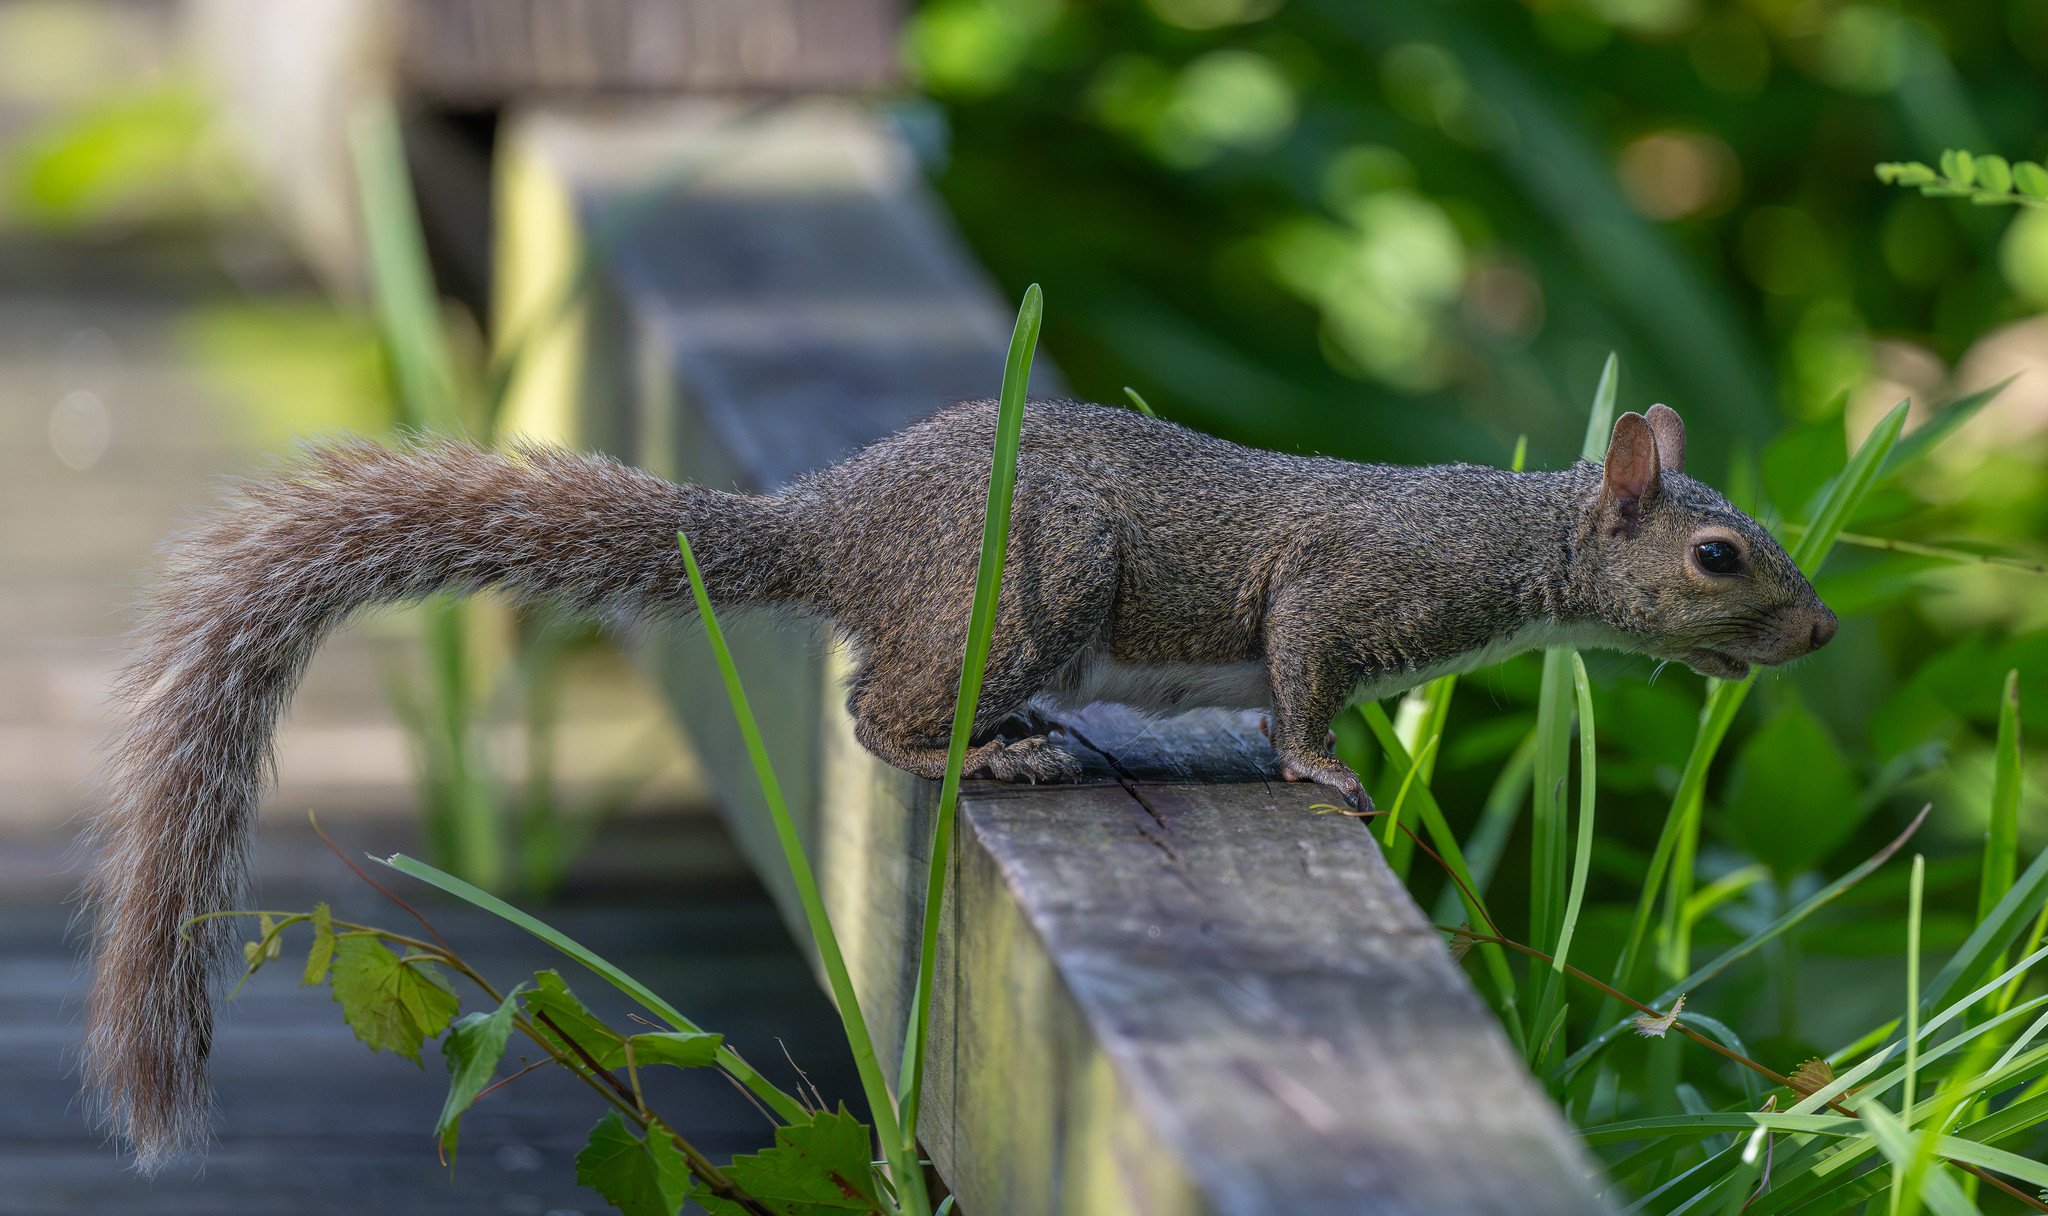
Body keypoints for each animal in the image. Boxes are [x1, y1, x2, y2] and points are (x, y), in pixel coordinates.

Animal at [84, 397, 1833, 1169]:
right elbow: (1300, 692)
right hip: (1037, 585)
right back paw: (992, 746)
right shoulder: (1339, 597)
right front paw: (1324, 777)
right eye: (1720, 554)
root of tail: (828, 527)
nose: (1817, 632)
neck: (1506, 543)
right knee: (876, 712)